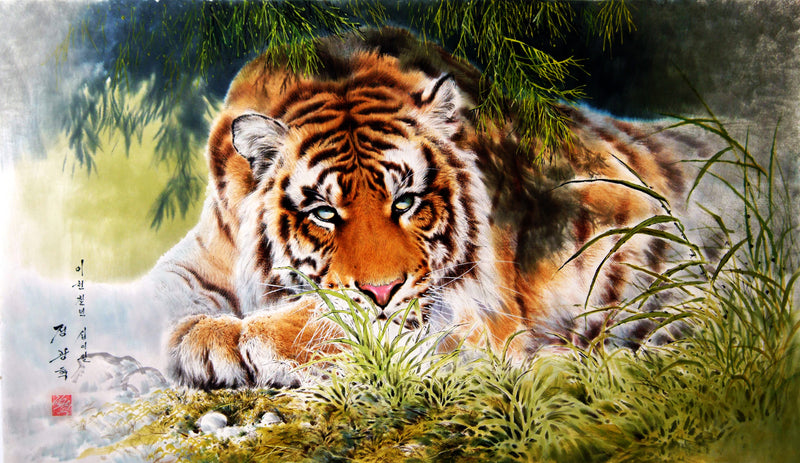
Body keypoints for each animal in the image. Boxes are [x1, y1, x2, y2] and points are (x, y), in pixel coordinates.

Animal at [153, 27, 713, 390]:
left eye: (406, 202)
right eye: (324, 213)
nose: (382, 289)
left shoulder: (474, 308)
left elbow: (338, 314)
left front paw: (222, 336)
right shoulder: (201, 255)